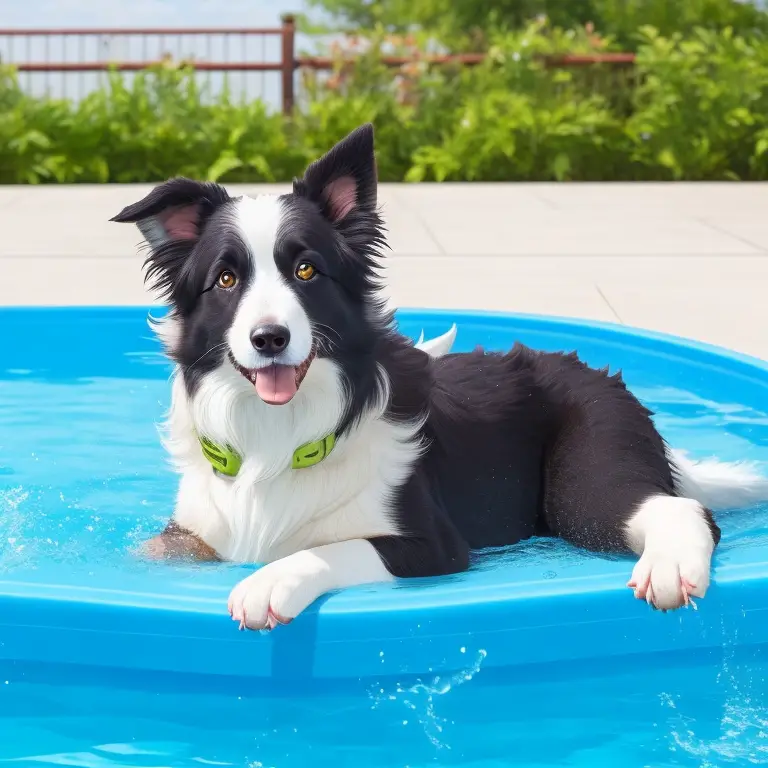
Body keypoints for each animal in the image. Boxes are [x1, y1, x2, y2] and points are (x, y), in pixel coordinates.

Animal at [114, 124, 768, 632]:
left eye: (306, 271)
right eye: (226, 280)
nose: (269, 338)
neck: (278, 440)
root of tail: (600, 373)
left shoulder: (433, 545)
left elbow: (333, 547)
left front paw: (268, 583)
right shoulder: (192, 537)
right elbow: (158, 551)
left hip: (584, 483)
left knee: (679, 510)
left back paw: (670, 568)